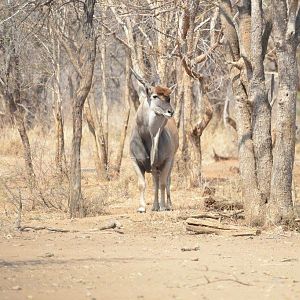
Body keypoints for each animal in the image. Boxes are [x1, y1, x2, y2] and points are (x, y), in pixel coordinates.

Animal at [129, 71, 178, 212]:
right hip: (155, 167)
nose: (170, 111)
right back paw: (155, 206)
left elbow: (163, 183)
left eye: (168, 97)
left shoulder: (167, 161)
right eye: (155, 96)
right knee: (156, 181)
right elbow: (142, 184)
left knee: (166, 181)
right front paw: (141, 207)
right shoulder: (135, 160)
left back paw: (167, 205)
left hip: (170, 161)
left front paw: (163, 206)